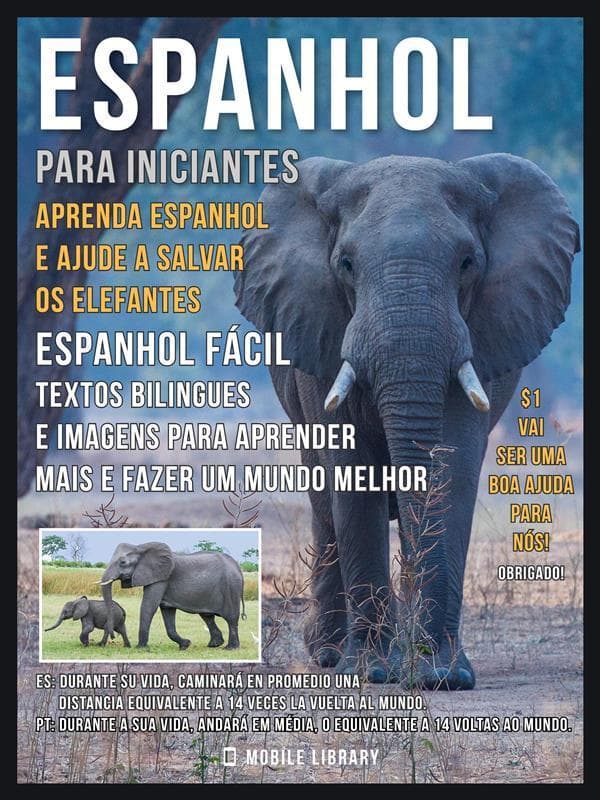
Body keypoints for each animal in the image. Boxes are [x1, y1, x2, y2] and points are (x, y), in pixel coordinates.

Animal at [99, 542, 246, 650]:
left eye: (123, 562)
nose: (113, 637)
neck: (141, 547)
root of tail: (237, 566)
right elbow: (167, 611)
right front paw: (185, 645)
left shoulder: (161, 578)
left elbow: (149, 607)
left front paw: (140, 648)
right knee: (207, 617)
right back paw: (214, 645)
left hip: (231, 587)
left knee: (231, 618)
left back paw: (230, 648)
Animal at [234, 153, 579, 688]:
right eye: (346, 265)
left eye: (468, 263)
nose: (425, 668)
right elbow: (351, 475)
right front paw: (372, 672)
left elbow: (450, 467)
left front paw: (441, 676)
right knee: (323, 500)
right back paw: (331, 654)